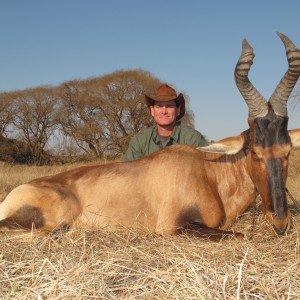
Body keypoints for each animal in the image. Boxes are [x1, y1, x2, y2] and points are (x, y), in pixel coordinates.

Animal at [0, 32, 300, 239]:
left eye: (287, 151)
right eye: (255, 152)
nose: (281, 223)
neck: (208, 172)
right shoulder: (175, 226)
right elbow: (238, 236)